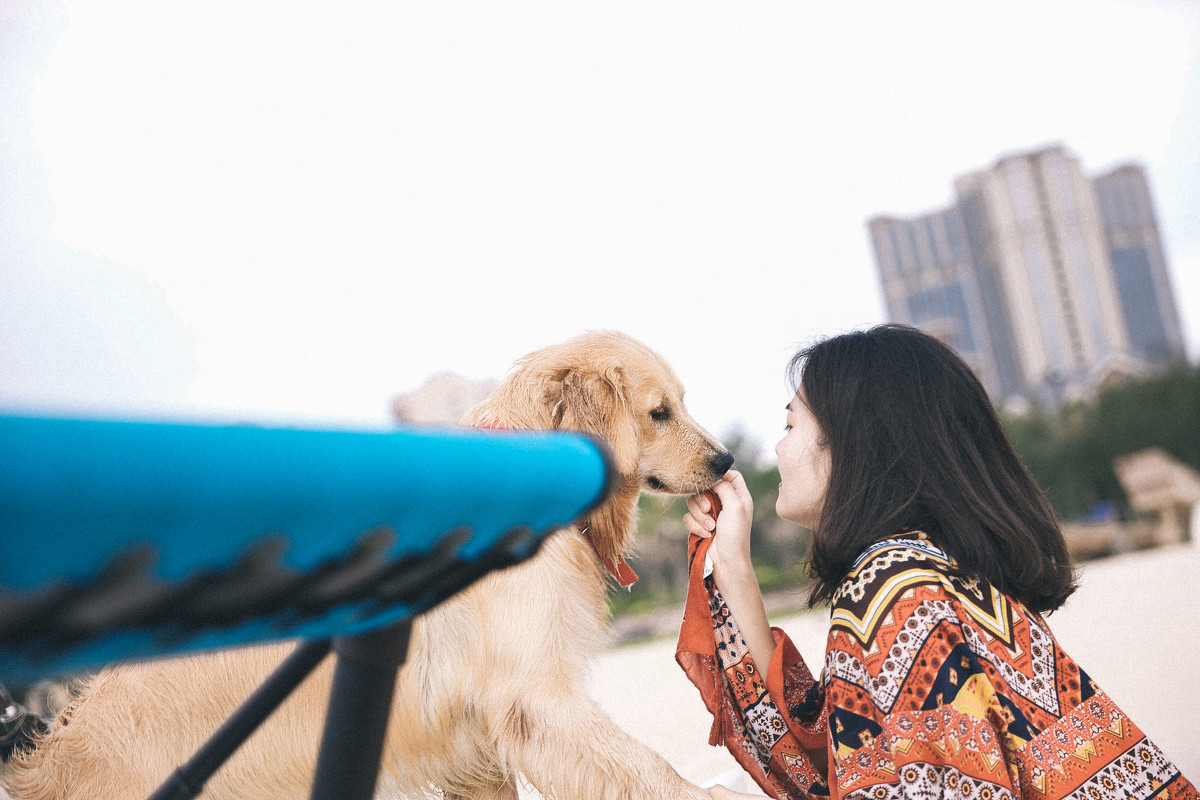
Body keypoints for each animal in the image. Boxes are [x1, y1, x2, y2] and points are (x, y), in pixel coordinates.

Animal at [7, 331, 729, 800]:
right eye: (659, 412)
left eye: (683, 402)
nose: (725, 459)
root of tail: (50, 761)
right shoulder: (535, 701)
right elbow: (646, 771)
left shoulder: (472, 742)